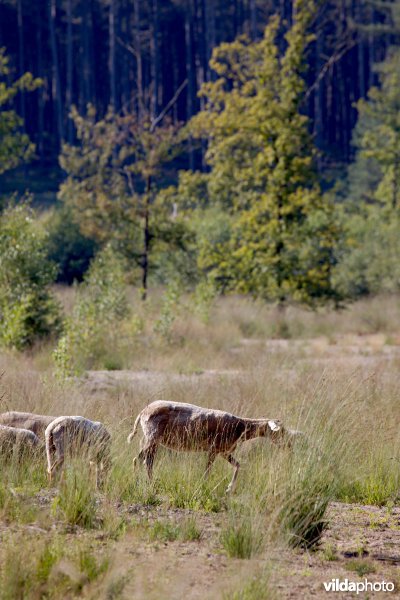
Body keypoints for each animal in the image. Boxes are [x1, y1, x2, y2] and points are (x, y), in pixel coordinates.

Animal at [128, 400, 300, 494]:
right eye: (280, 431)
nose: (289, 445)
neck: (240, 427)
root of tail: (143, 412)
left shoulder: (223, 452)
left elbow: (238, 465)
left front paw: (229, 489)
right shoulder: (213, 449)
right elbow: (207, 471)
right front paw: (204, 486)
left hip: (151, 440)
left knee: (145, 461)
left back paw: (149, 482)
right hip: (152, 438)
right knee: (140, 460)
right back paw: (141, 483)